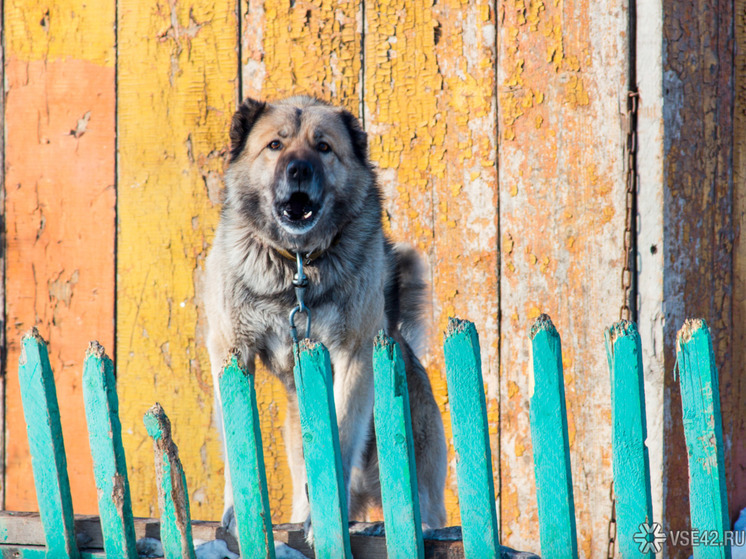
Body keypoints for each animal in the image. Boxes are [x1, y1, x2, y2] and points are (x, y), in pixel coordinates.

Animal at [202, 95, 448, 532]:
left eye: (324, 147)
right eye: (275, 145)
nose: (299, 169)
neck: (298, 265)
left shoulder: (353, 356)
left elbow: (342, 437)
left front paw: (326, 517)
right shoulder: (230, 352)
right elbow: (237, 440)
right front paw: (238, 512)